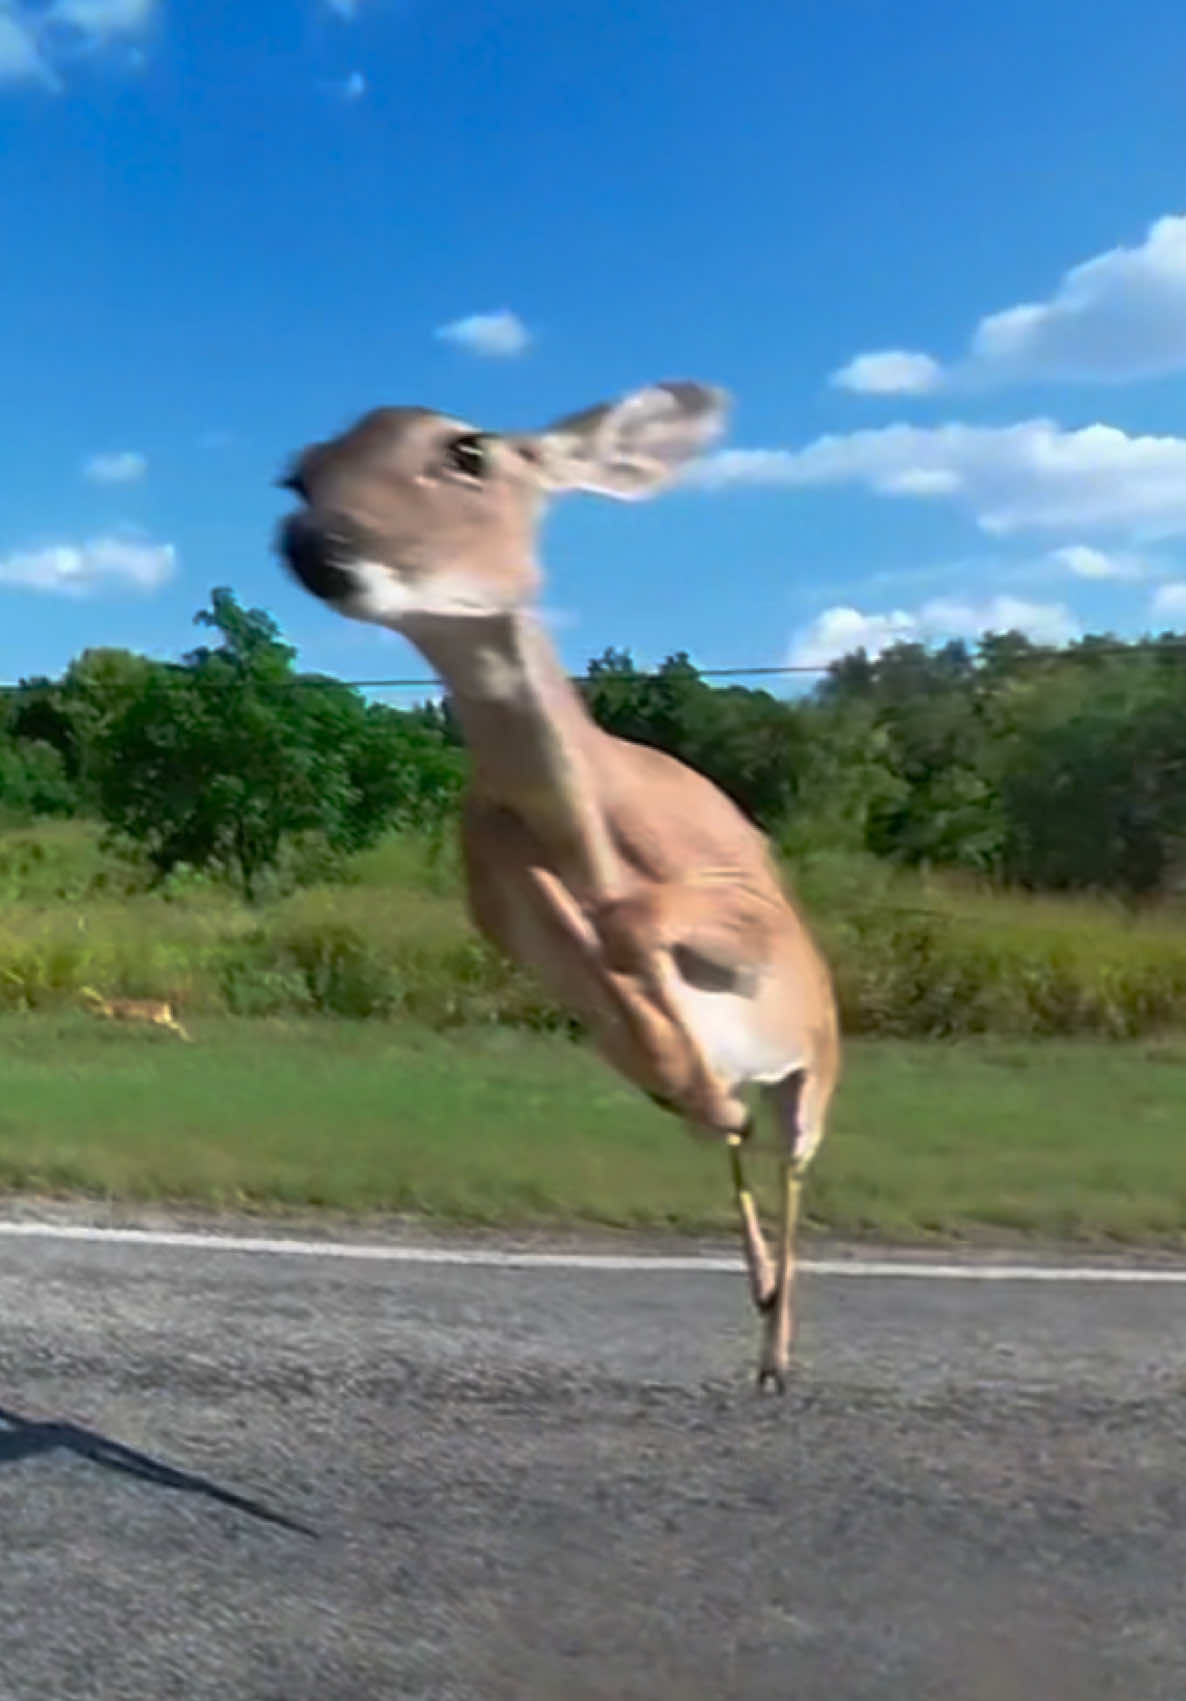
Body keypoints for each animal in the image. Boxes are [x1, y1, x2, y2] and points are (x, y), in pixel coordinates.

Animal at [276, 381, 839, 1391]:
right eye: (299, 475)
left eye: (468, 451)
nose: (316, 542)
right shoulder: (507, 910)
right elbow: (601, 971)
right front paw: (694, 1085)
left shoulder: (748, 887)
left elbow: (651, 917)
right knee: (746, 1153)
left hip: (817, 1065)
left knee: (794, 1163)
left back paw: (777, 1344)